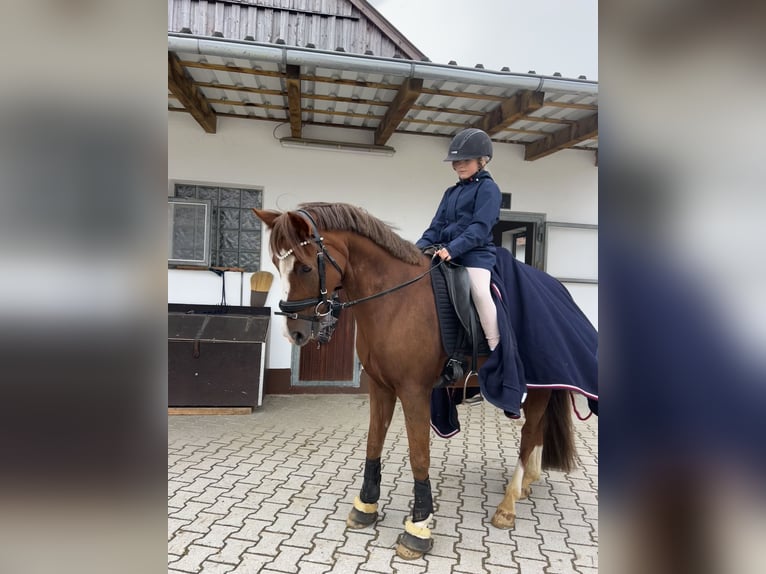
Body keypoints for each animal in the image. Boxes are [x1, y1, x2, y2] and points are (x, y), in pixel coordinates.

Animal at [255, 205, 580, 560]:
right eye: (277, 265)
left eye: (305, 267)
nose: (294, 333)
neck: (396, 299)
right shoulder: (380, 387)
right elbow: (373, 444)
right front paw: (365, 507)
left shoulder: (413, 392)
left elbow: (419, 455)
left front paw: (418, 528)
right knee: (536, 431)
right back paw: (525, 486)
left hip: (536, 383)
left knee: (529, 432)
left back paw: (507, 506)